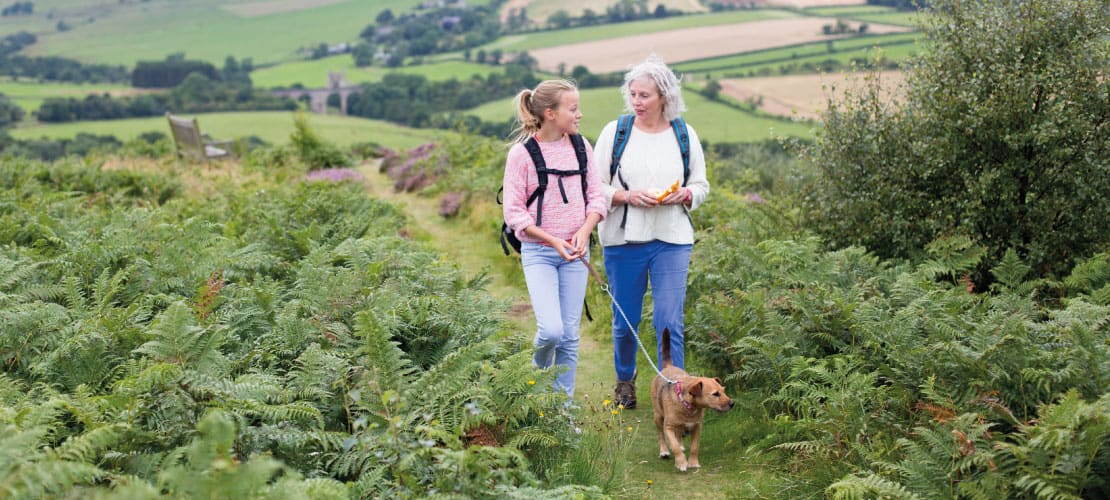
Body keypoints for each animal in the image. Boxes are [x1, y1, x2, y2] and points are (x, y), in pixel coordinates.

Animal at [648, 331, 732, 471]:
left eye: (724, 390)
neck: (688, 405)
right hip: (658, 416)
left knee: (679, 433)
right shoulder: (668, 427)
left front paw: (693, 462)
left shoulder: (697, 427)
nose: (732, 403)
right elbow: (674, 446)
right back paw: (664, 451)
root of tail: (669, 366)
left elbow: (694, 447)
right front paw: (681, 463)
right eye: (715, 394)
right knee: (661, 434)